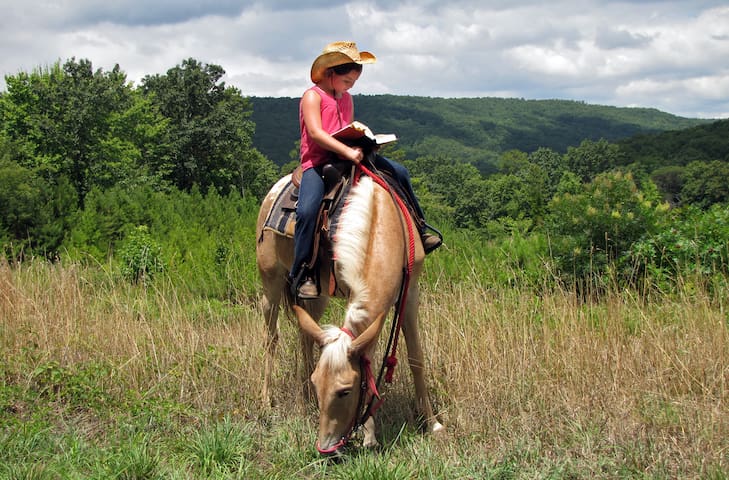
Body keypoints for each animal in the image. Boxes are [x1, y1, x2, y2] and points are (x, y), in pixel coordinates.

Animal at [256, 164, 444, 454]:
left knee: (305, 336)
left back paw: (306, 399)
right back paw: (266, 402)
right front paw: (369, 434)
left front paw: (432, 423)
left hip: (317, 294)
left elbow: (416, 358)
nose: (327, 447)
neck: (380, 222)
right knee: (270, 338)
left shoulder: (410, 292)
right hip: (271, 282)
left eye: (345, 391)